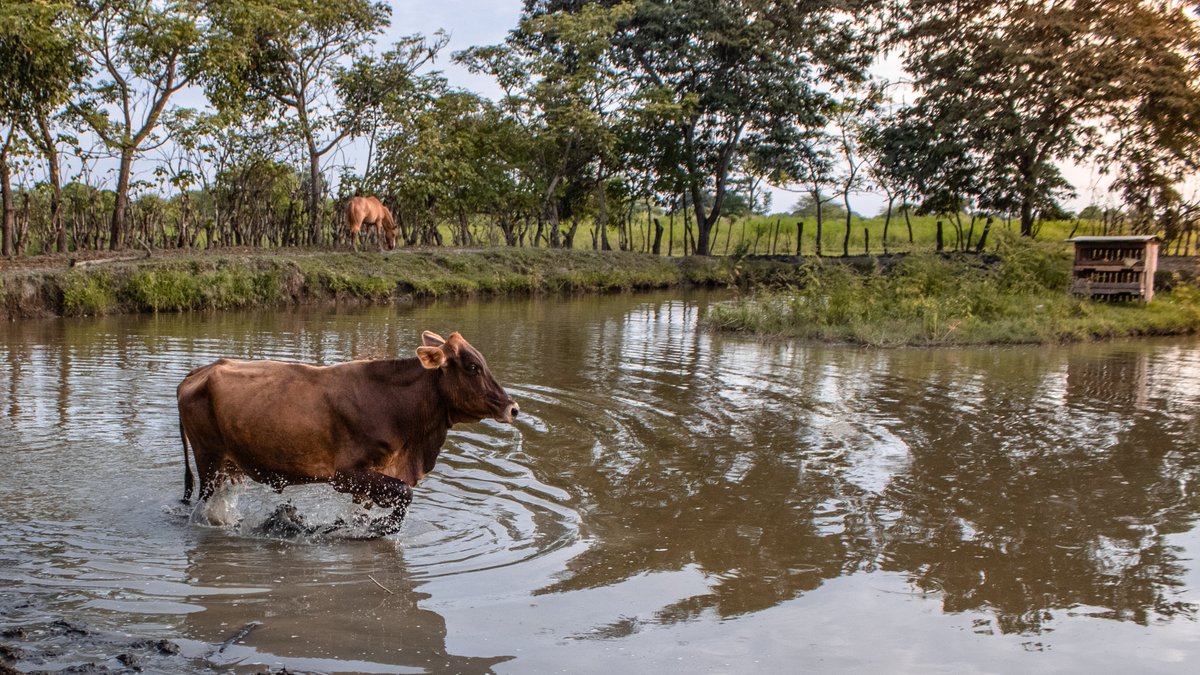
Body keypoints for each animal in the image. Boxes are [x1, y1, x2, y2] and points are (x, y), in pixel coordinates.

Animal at [176, 330, 518, 537]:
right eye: (472, 366)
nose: (513, 408)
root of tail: (200, 371)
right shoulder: (346, 474)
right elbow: (405, 495)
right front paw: (381, 527)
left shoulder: (371, 477)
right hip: (208, 459)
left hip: (226, 465)